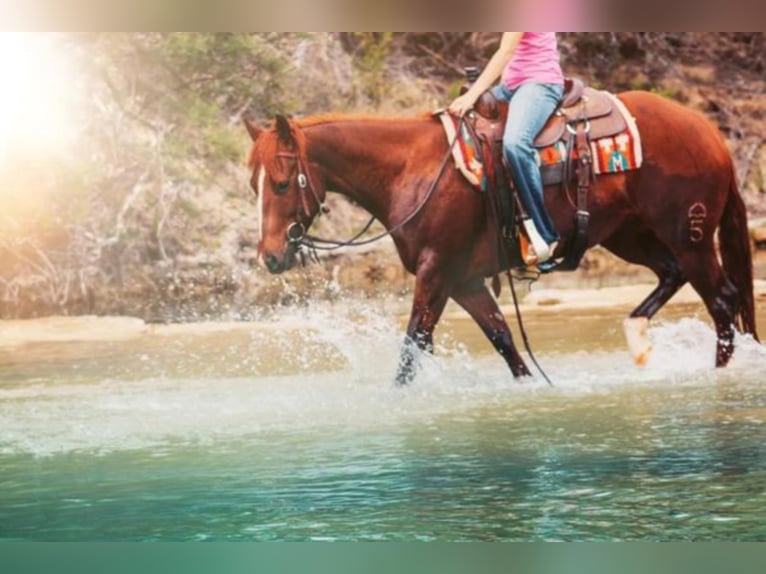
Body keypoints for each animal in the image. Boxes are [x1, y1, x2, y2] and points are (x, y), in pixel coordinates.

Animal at [243, 91, 760, 388]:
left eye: (282, 184)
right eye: (254, 184)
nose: (270, 256)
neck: (411, 169)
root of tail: (709, 132)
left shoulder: (436, 271)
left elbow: (413, 346)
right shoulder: (464, 281)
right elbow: (504, 340)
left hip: (690, 237)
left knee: (721, 301)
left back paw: (717, 375)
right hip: (629, 235)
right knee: (672, 276)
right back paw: (638, 342)